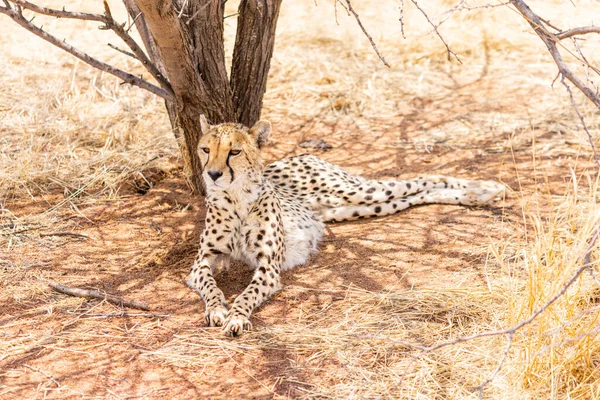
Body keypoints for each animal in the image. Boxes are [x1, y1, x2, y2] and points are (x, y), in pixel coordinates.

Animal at [188, 115, 506, 334]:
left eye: (235, 152)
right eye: (205, 149)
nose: (213, 174)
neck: (236, 197)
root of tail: (302, 155)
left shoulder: (268, 267)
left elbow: (249, 292)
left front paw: (237, 316)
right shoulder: (200, 263)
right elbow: (210, 285)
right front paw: (217, 310)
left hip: (358, 192)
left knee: (422, 179)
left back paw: (486, 188)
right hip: (354, 207)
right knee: (418, 193)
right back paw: (480, 193)